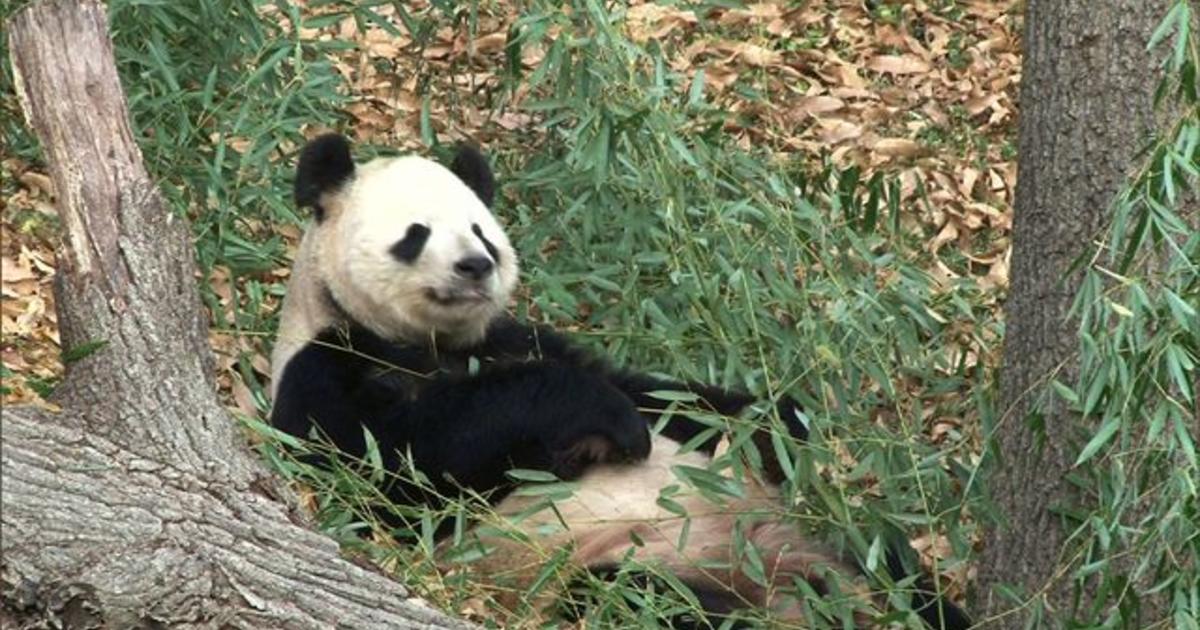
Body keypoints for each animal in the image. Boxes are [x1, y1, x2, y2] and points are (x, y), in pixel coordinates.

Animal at [267, 132, 969, 628]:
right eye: (416, 235)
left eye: (480, 231)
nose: (475, 266)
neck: (429, 342)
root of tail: (771, 565)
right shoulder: (325, 367)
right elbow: (391, 467)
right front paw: (606, 424)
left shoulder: (511, 337)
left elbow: (665, 396)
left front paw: (777, 427)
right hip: (626, 562)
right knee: (652, 601)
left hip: (824, 541)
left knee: (897, 574)